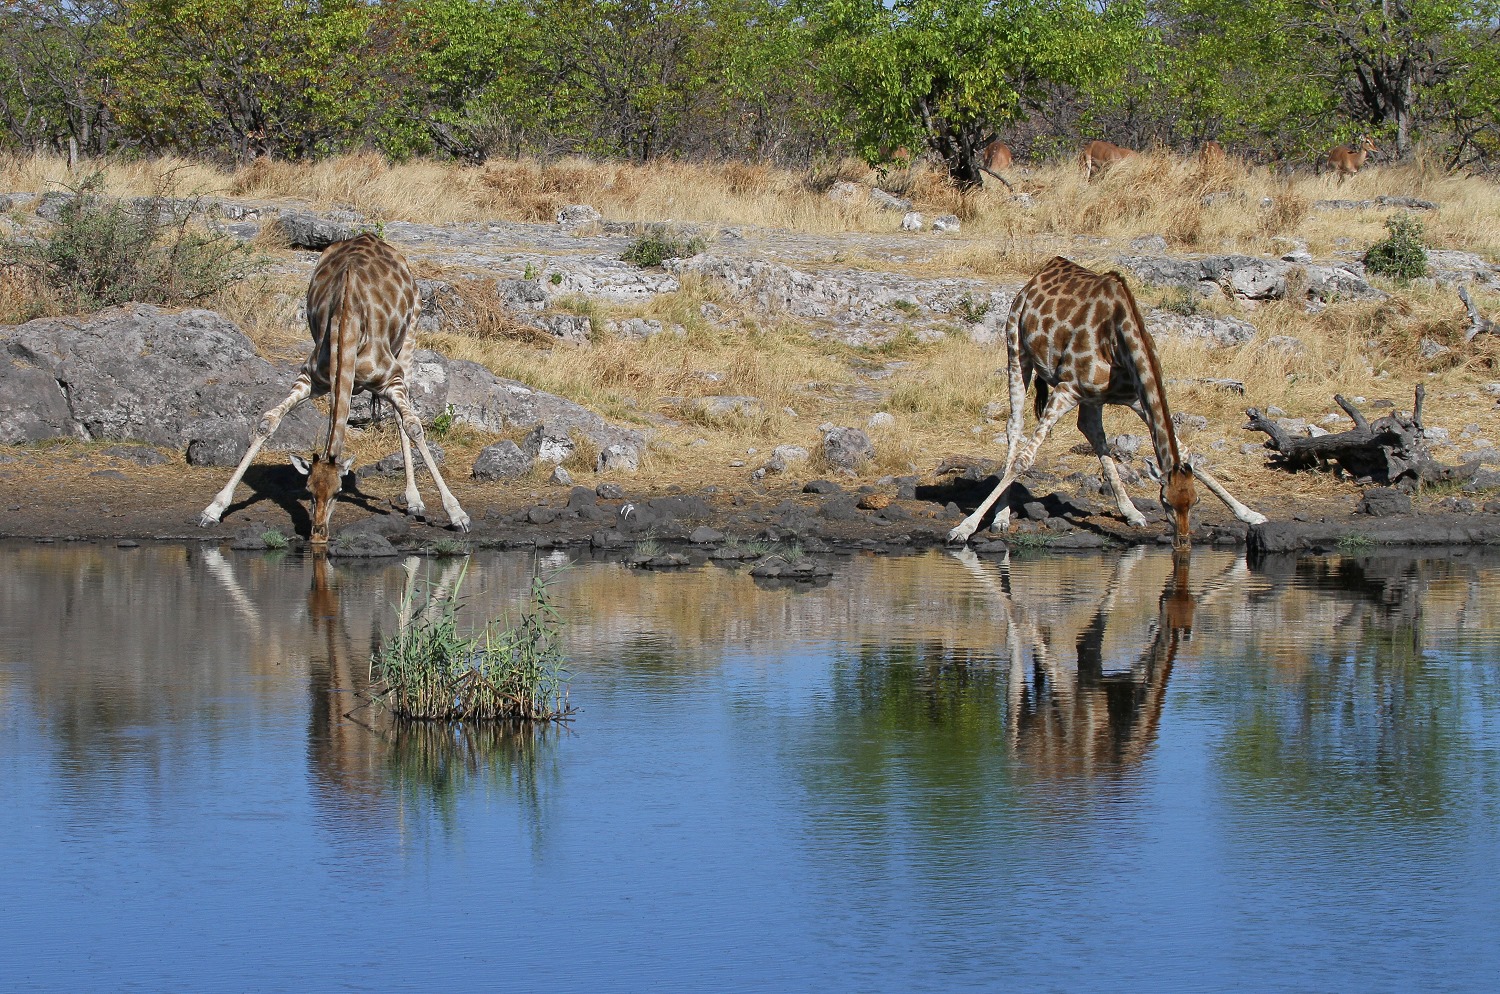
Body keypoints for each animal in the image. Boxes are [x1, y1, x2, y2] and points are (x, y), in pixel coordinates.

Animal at [199, 233, 468, 545]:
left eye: (339, 491)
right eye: (309, 490)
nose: (318, 534)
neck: (347, 324)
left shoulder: (392, 378)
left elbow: (413, 426)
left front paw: (457, 515)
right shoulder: (311, 378)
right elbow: (268, 421)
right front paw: (213, 509)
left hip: (410, 334)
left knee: (403, 418)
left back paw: (415, 501)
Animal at [948, 256, 1266, 548]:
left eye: (1195, 501)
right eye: (1165, 501)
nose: (1183, 541)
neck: (1118, 339)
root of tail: (1040, 274)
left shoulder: (1134, 397)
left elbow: (1188, 453)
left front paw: (1249, 514)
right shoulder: (1066, 388)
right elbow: (1024, 461)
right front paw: (963, 528)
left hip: (1092, 397)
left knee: (1090, 428)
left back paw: (1131, 512)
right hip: (1016, 349)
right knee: (1015, 426)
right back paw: (1001, 517)